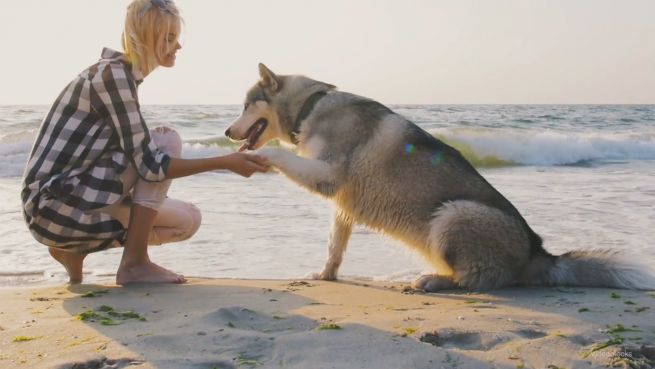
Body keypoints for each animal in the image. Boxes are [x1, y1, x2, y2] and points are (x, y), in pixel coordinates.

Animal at [227, 64, 655, 290]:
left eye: (247, 105)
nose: (229, 133)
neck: (310, 107)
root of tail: (539, 253)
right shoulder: (342, 204)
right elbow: (335, 246)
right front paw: (326, 275)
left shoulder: (328, 176)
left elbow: (279, 155)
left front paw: (257, 156)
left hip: (452, 214)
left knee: (481, 279)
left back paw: (434, 280)